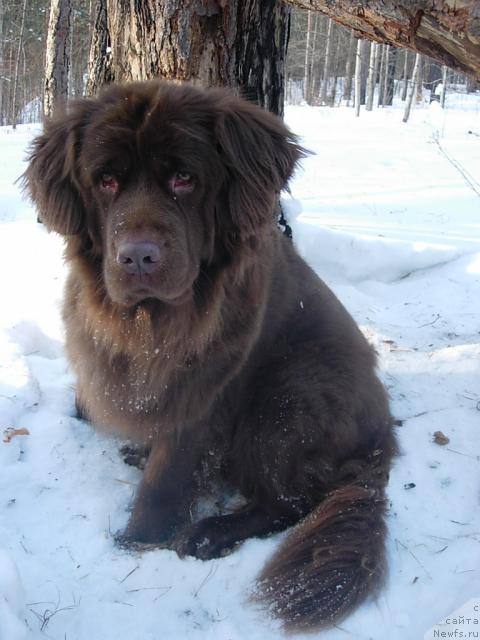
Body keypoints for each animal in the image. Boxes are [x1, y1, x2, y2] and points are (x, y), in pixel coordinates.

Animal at [24, 79, 396, 632]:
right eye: (106, 180)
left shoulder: (205, 395)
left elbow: (168, 476)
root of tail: (383, 435)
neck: (154, 325)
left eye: (184, 178)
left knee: (293, 501)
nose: (138, 257)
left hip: (291, 395)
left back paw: (211, 533)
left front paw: (139, 539)